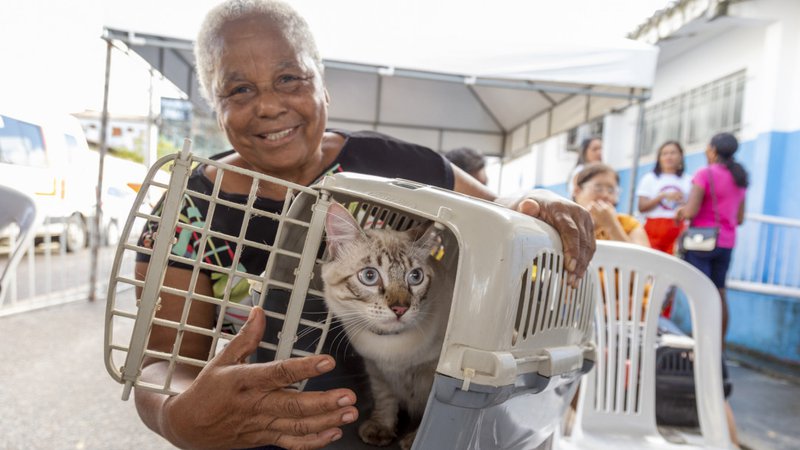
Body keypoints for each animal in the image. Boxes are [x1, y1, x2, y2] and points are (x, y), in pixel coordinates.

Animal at [322, 203, 454, 450]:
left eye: (415, 276)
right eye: (369, 276)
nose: (400, 309)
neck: (390, 344)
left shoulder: (431, 374)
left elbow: (430, 414)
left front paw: (414, 440)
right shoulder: (376, 367)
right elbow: (385, 399)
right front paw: (380, 429)